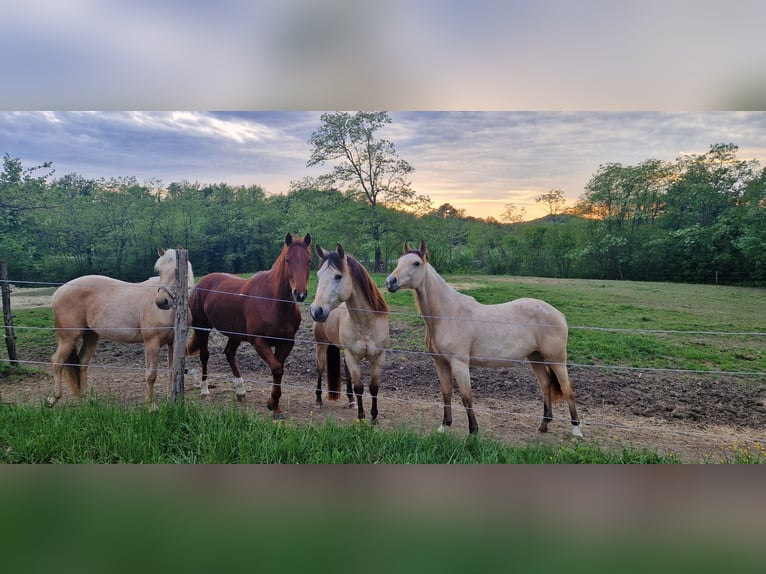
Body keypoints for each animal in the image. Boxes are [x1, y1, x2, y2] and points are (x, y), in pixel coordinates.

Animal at [48, 246, 195, 404]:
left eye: (176, 270)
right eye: (159, 270)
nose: (161, 302)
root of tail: (59, 291)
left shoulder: (173, 344)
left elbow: (172, 371)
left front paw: (170, 400)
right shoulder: (152, 343)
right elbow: (151, 375)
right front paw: (150, 405)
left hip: (91, 336)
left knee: (82, 363)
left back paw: (88, 399)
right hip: (69, 338)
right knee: (57, 362)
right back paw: (53, 398)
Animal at [188, 232, 314, 420]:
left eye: (309, 260)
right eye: (288, 260)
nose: (300, 294)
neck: (273, 302)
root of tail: (201, 283)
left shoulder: (286, 343)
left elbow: (279, 370)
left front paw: (275, 407)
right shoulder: (259, 341)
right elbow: (277, 368)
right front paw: (272, 404)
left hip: (234, 333)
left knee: (229, 354)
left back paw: (240, 391)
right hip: (202, 328)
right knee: (205, 355)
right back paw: (205, 390)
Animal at [308, 245, 390, 426]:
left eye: (338, 276)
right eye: (318, 275)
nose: (316, 311)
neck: (366, 324)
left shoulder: (379, 357)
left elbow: (374, 387)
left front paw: (374, 418)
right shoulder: (352, 355)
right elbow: (359, 387)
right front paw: (361, 418)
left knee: (346, 371)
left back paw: (351, 401)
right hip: (321, 346)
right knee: (320, 369)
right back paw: (318, 401)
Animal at [384, 242, 584, 436]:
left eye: (416, 263)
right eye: (398, 261)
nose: (390, 282)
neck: (448, 314)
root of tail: (558, 314)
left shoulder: (459, 363)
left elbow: (466, 397)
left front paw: (473, 431)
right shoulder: (441, 363)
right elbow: (446, 393)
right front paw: (444, 426)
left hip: (556, 360)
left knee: (567, 389)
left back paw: (576, 430)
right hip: (536, 358)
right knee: (545, 386)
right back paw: (543, 426)